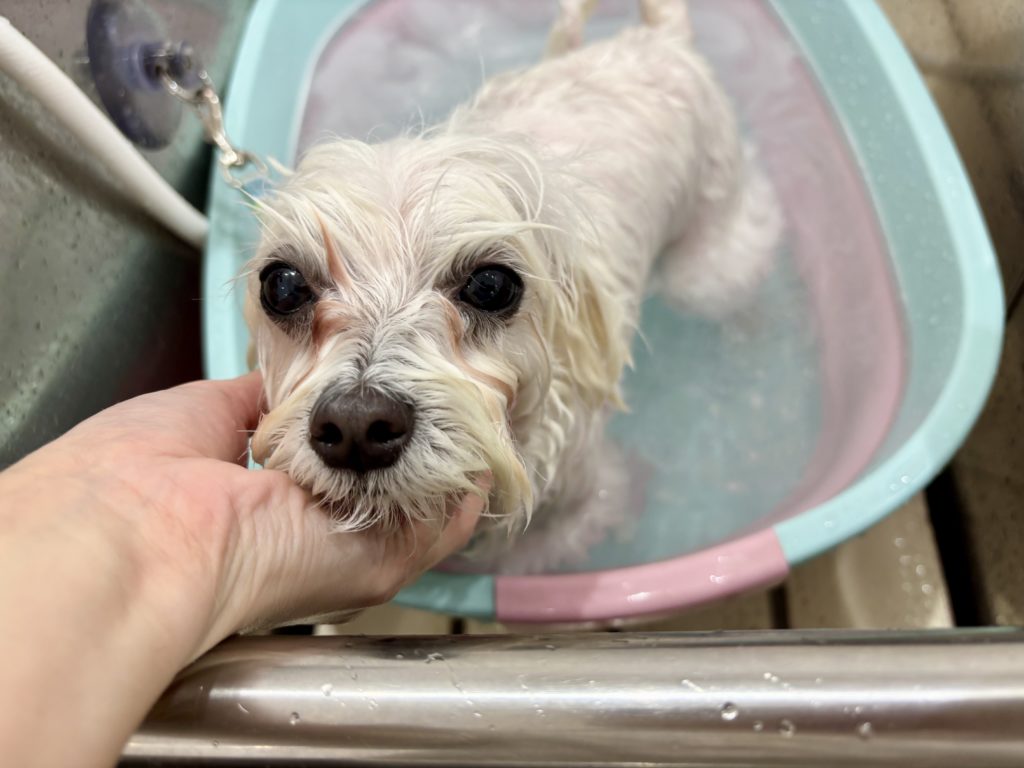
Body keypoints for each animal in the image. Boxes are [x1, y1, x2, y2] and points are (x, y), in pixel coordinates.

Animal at [244, 0, 780, 569]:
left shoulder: (583, 504)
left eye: (491, 286)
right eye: (282, 287)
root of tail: (663, 38)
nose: (357, 426)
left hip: (705, 269)